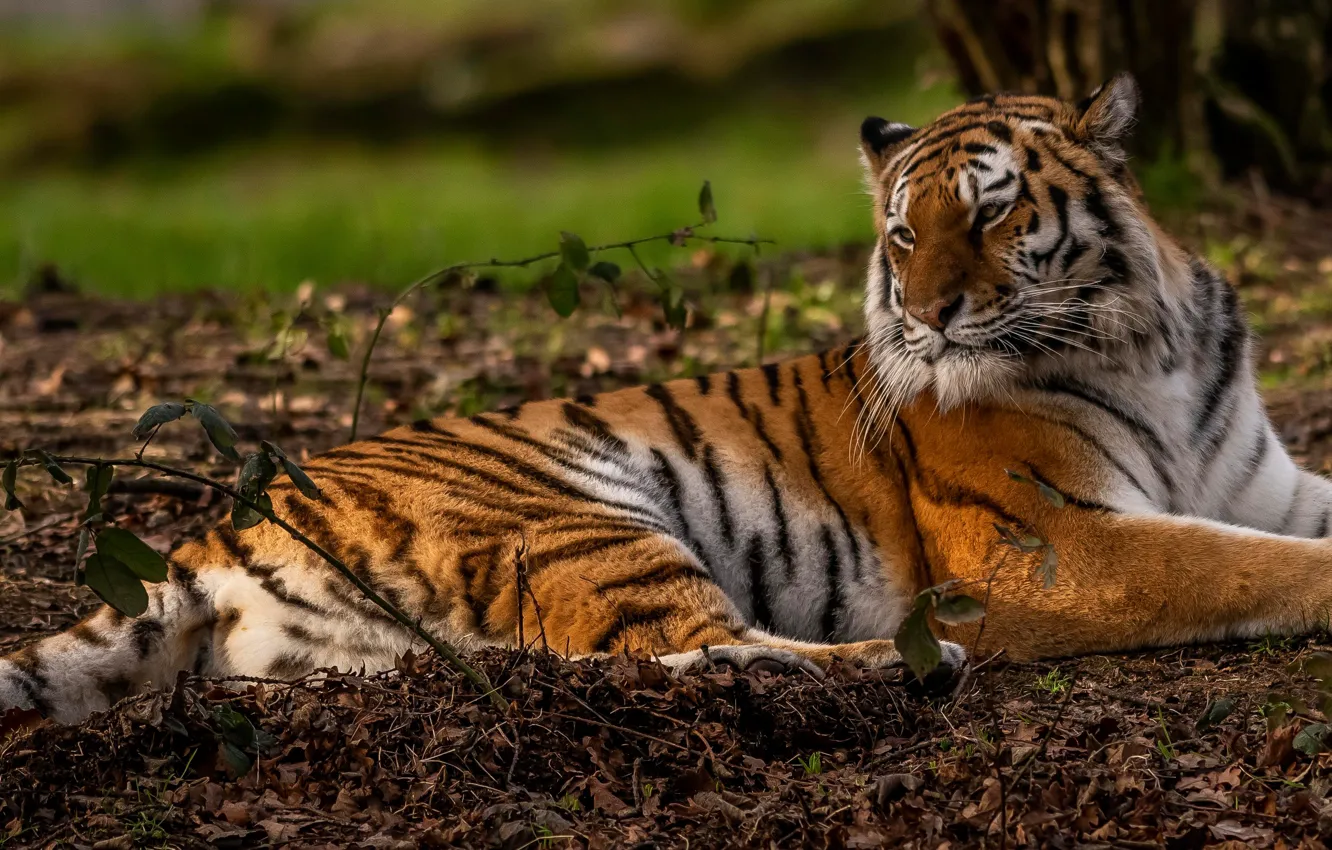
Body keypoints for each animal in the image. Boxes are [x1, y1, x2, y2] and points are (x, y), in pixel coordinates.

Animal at [6, 72, 1332, 726]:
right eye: (904, 233)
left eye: (995, 213)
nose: (925, 316)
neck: (1146, 339)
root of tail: (212, 528)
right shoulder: (1048, 540)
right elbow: (1238, 565)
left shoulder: (1262, 480)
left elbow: (1277, 530)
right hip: (581, 515)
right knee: (662, 655)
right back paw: (904, 661)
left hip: (364, 650)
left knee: (543, 666)